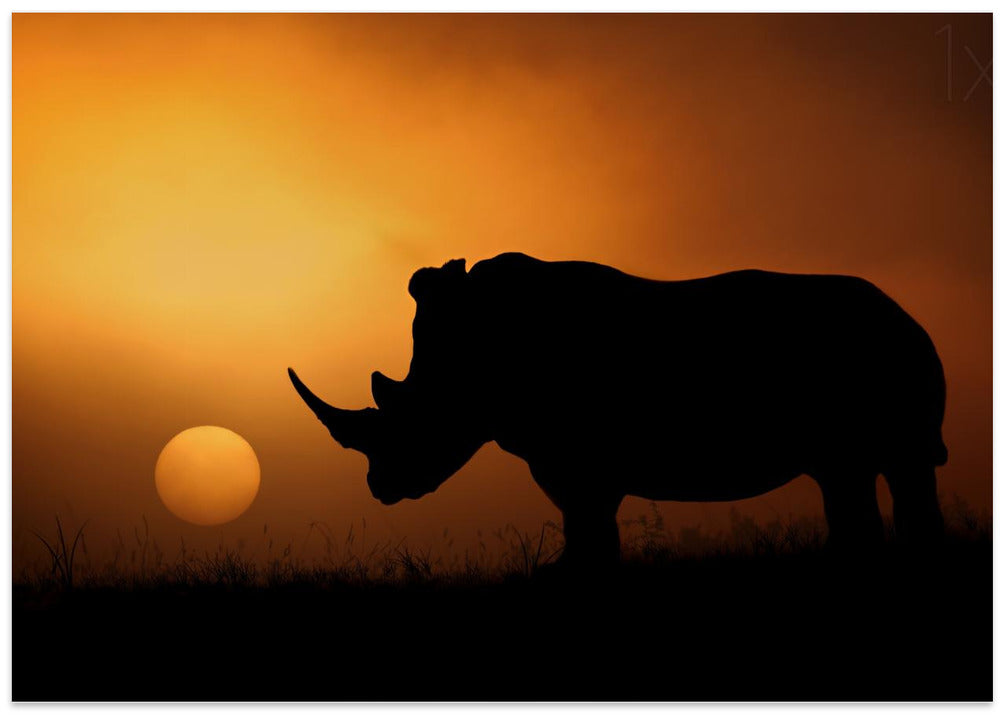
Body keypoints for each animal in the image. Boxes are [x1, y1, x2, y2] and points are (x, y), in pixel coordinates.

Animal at [289, 252, 947, 566]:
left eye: (410, 420)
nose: (379, 488)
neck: (469, 361)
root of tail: (909, 316)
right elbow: (588, 524)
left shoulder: (574, 457)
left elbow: (587, 522)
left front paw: (567, 575)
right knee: (855, 474)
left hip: (883, 353)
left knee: (885, 467)